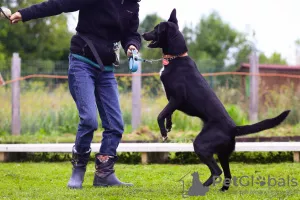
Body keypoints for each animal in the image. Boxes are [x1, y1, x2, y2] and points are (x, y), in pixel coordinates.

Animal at [143, 8, 290, 191]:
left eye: (156, 28)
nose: (142, 34)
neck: (176, 58)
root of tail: (234, 128)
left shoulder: (177, 98)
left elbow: (160, 114)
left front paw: (163, 132)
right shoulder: (172, 100)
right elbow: (167, 113)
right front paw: (169, 126)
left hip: (201, 144)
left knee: (217, 171)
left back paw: (202, 187)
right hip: (222, 153)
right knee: (227, 174)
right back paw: (222, 189)